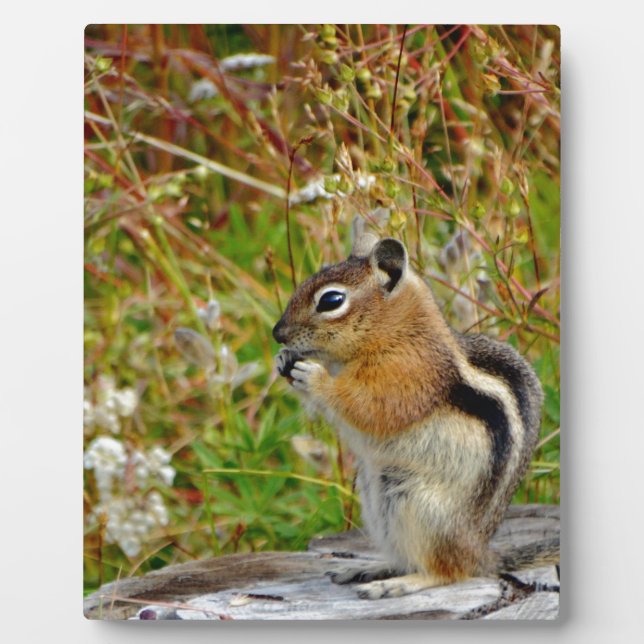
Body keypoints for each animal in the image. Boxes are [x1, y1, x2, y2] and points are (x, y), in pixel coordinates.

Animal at [272, 216, 558, 599]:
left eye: (331, 300)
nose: (277, 333)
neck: (396, 331)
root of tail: (478, 553)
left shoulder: (407, 374)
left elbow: (369, 406)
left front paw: (315, 377)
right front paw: (283, 360)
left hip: (418, 506)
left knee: (447, 572)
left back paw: (399, 584)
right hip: (378, 501)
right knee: (408, 557)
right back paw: (370, 568)